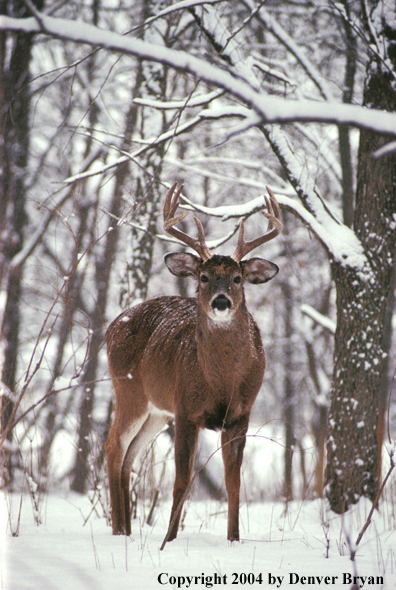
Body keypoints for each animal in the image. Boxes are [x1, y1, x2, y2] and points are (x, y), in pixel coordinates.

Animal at [105, 184, 282, 544]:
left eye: (238, 278)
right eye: (203, 276)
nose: (221, 302)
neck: (224, 381)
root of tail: (111, 327)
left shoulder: (241, 414)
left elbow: (233, 483)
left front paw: (234, 539)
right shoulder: (187, 408)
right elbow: (181, 481)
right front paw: (168, 541)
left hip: (157, 411)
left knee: (129, 456)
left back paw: (127, 529)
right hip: (129, 391)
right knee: (113, 448)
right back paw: (118, 530)